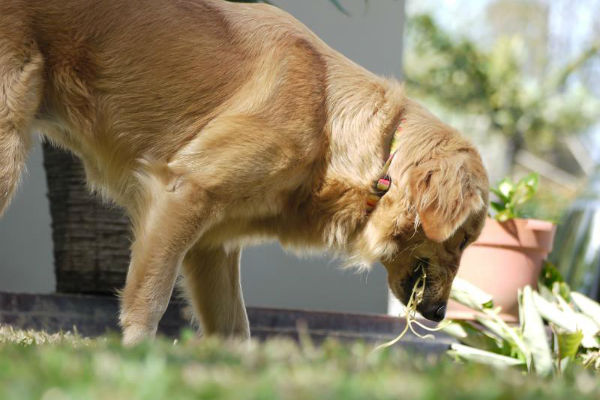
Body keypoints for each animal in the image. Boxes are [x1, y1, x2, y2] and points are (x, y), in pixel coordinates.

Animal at [1, 0, 488, 344]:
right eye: (464, 238)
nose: (440, 315)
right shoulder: (184, 193)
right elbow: (150, 300)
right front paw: (136, 359)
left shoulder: (212, 245)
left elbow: (236, 329)